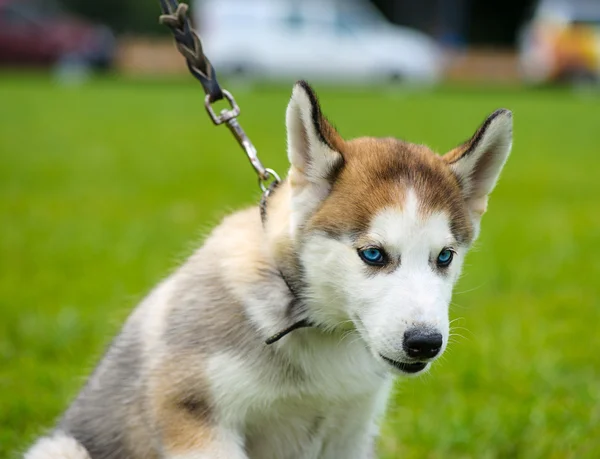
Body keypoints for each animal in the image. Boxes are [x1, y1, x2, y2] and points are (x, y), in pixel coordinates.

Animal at [24, 82, 510, 459]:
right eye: (372, 255)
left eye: (444, 257)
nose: (425, 342)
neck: (318, 332)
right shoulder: (195, 419)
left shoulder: (350, 433)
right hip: (62, 447)